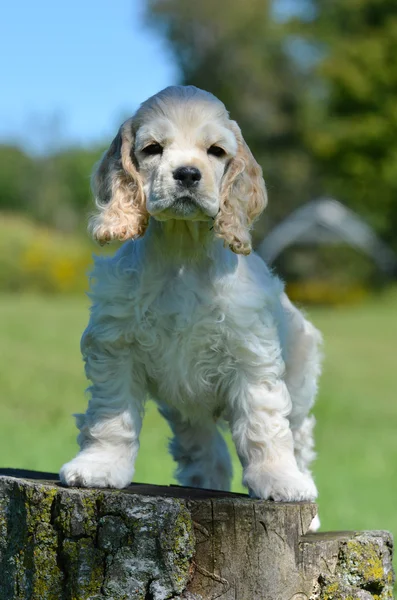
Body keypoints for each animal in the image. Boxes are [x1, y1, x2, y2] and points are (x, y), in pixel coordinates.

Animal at [61, 86, 322, 504]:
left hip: (299, 381)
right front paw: (98, 467)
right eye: (152, 148)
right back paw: (202, 483)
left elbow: (264, 425)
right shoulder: (116, 347)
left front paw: (279, 479)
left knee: (298, 438)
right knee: (204, 450)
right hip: (187, 407)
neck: (183, 250)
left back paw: (304, 491)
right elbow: (111, 415)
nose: (186, 173)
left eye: (216, 151)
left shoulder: (252, 356)